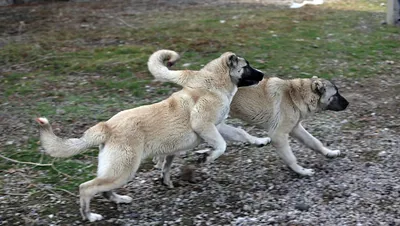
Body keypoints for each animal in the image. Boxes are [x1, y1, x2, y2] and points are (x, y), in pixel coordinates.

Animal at [36, 50, 264, 222]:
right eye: (247, 66)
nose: (263, 74)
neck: (213, 83)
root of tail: (106, 127)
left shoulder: (219, 126)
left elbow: (241, 133)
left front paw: (260, 141)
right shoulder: (204, 125)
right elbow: (221, 146)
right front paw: (205, 157)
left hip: (116, 170)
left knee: (104, 189)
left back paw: (119, 199)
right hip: (124, 170)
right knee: (86, 188)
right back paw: (90, 216)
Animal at [158, 77, 348, 179]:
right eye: (336, 93)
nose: (348, 103)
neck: (296, 94)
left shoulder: (296, 129)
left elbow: (315, 143)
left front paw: (329, 153)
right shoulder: (279, 136)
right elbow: (291, 158)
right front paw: (301, 171)